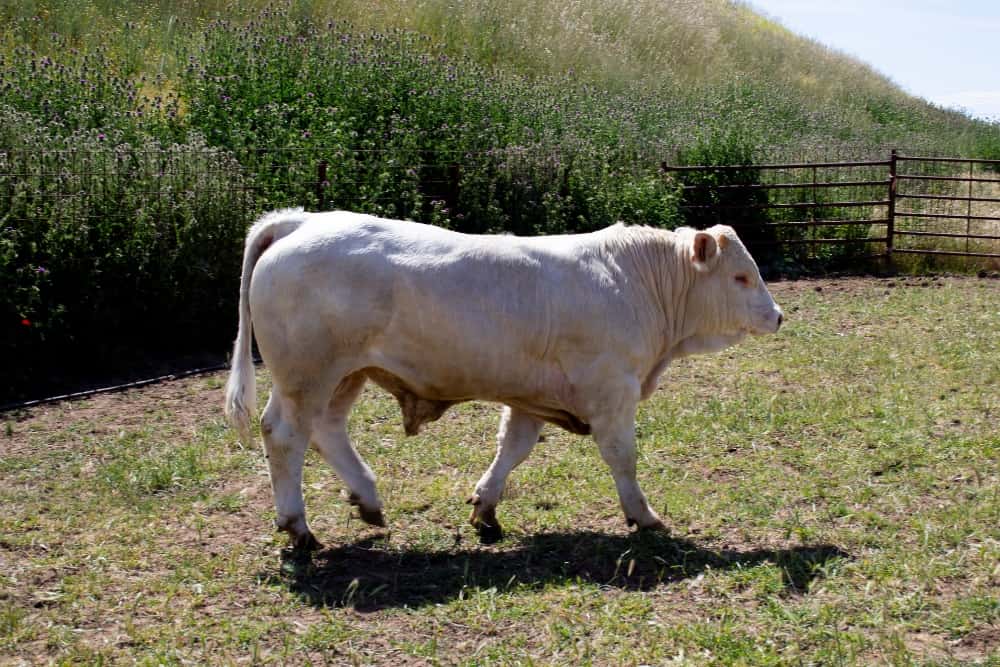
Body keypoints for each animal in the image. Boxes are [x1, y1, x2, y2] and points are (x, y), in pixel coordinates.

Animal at [224, 208, 783, 549]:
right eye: (740, 276)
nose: (777, 316)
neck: (633, 279)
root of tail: (303, 221)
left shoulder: (530, 396)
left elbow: (512, 448)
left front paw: (485, 507)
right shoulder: (612, 390)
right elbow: (622, 456)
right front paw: (643, 516)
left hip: (345, 375)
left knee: (326, 430)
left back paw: (368, 499)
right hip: (307, 374)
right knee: (285, 435)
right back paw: (298, 526)